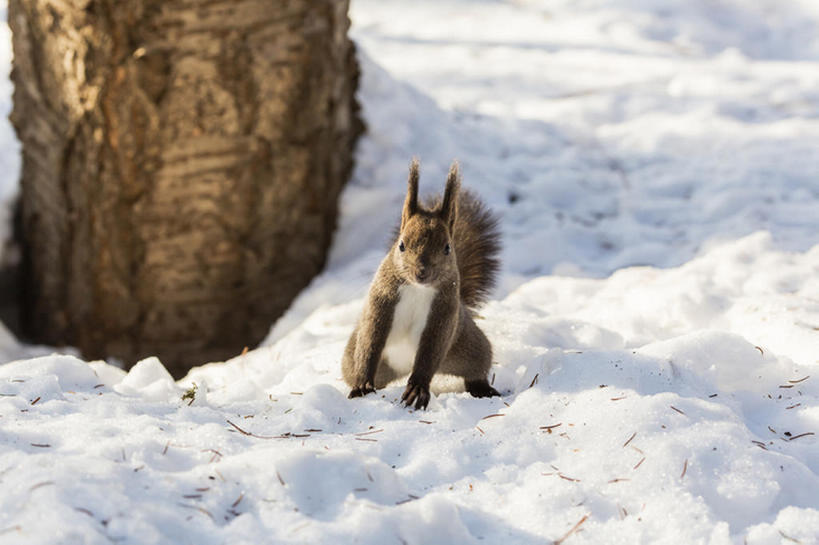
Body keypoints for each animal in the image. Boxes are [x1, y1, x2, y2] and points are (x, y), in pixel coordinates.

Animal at [342, 157, 502, 408]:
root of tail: (403, 368)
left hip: (469, 346)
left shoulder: (444, 314)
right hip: (359, 358)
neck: (417, 289)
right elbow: (370, 339)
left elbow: (430, 352)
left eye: (447, 248)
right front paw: (362, 384)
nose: (422, 272)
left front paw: (417, 389)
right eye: (401, 245)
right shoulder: (380, 301)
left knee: (476, 367)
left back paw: (482, 388)